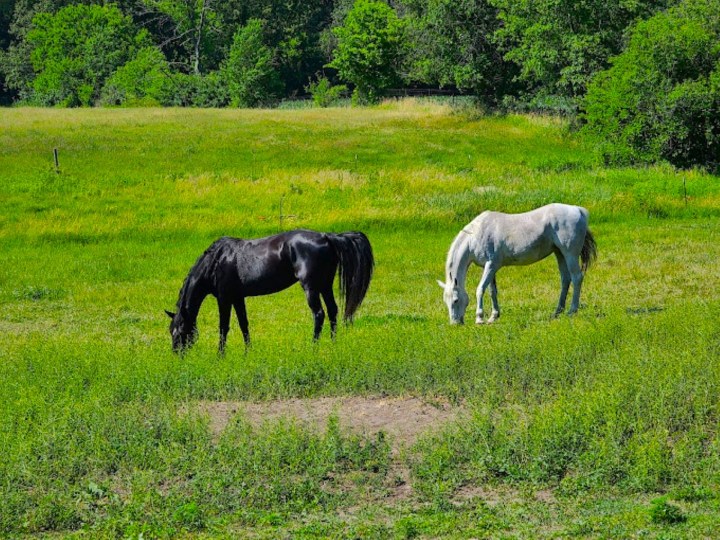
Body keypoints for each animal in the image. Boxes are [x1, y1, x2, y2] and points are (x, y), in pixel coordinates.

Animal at [166, 229, 374, 352]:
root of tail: (326, 237)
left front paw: (220, 355)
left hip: (311, 287)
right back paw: (332, 344)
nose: (177, 354)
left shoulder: (224, 298)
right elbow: (244, 324)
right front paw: (248, 351)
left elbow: (224, 327)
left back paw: (313, 347)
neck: (217, 260)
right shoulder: (237, 297)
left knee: (319, 314)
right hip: (325, 285)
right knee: (332, 311)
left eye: (179, 329)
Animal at [438, 205, 596, 324]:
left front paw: (480, 318)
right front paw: (493, 316)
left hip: (570, 254)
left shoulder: (491, 265)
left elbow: (480, 289)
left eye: (456, 300)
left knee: (577, 278)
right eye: (445, 301)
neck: (475, 235)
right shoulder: (489, 268)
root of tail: (578, 210)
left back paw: (572, 310)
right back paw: (557, 312)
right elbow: (492, 291)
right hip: (560, 254)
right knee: (565, 279)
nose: (455, 323)